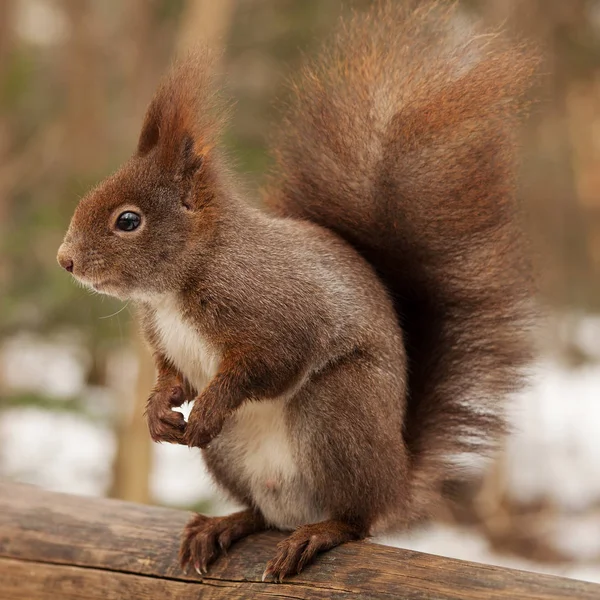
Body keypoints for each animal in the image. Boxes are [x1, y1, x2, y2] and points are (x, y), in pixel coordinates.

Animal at [56, 0, 536, 580]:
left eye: (128, 221)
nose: (65, 260)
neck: (177, 287)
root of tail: (397, 478)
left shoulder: (277, 310)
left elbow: (270, 363)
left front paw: (209, 407)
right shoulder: (165, 338)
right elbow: (174, 375)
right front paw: (157, 409)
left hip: (337, 410)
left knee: (355, 518)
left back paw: (320, 533)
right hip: (233, 456)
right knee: (263, 514)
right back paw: (226, 524)